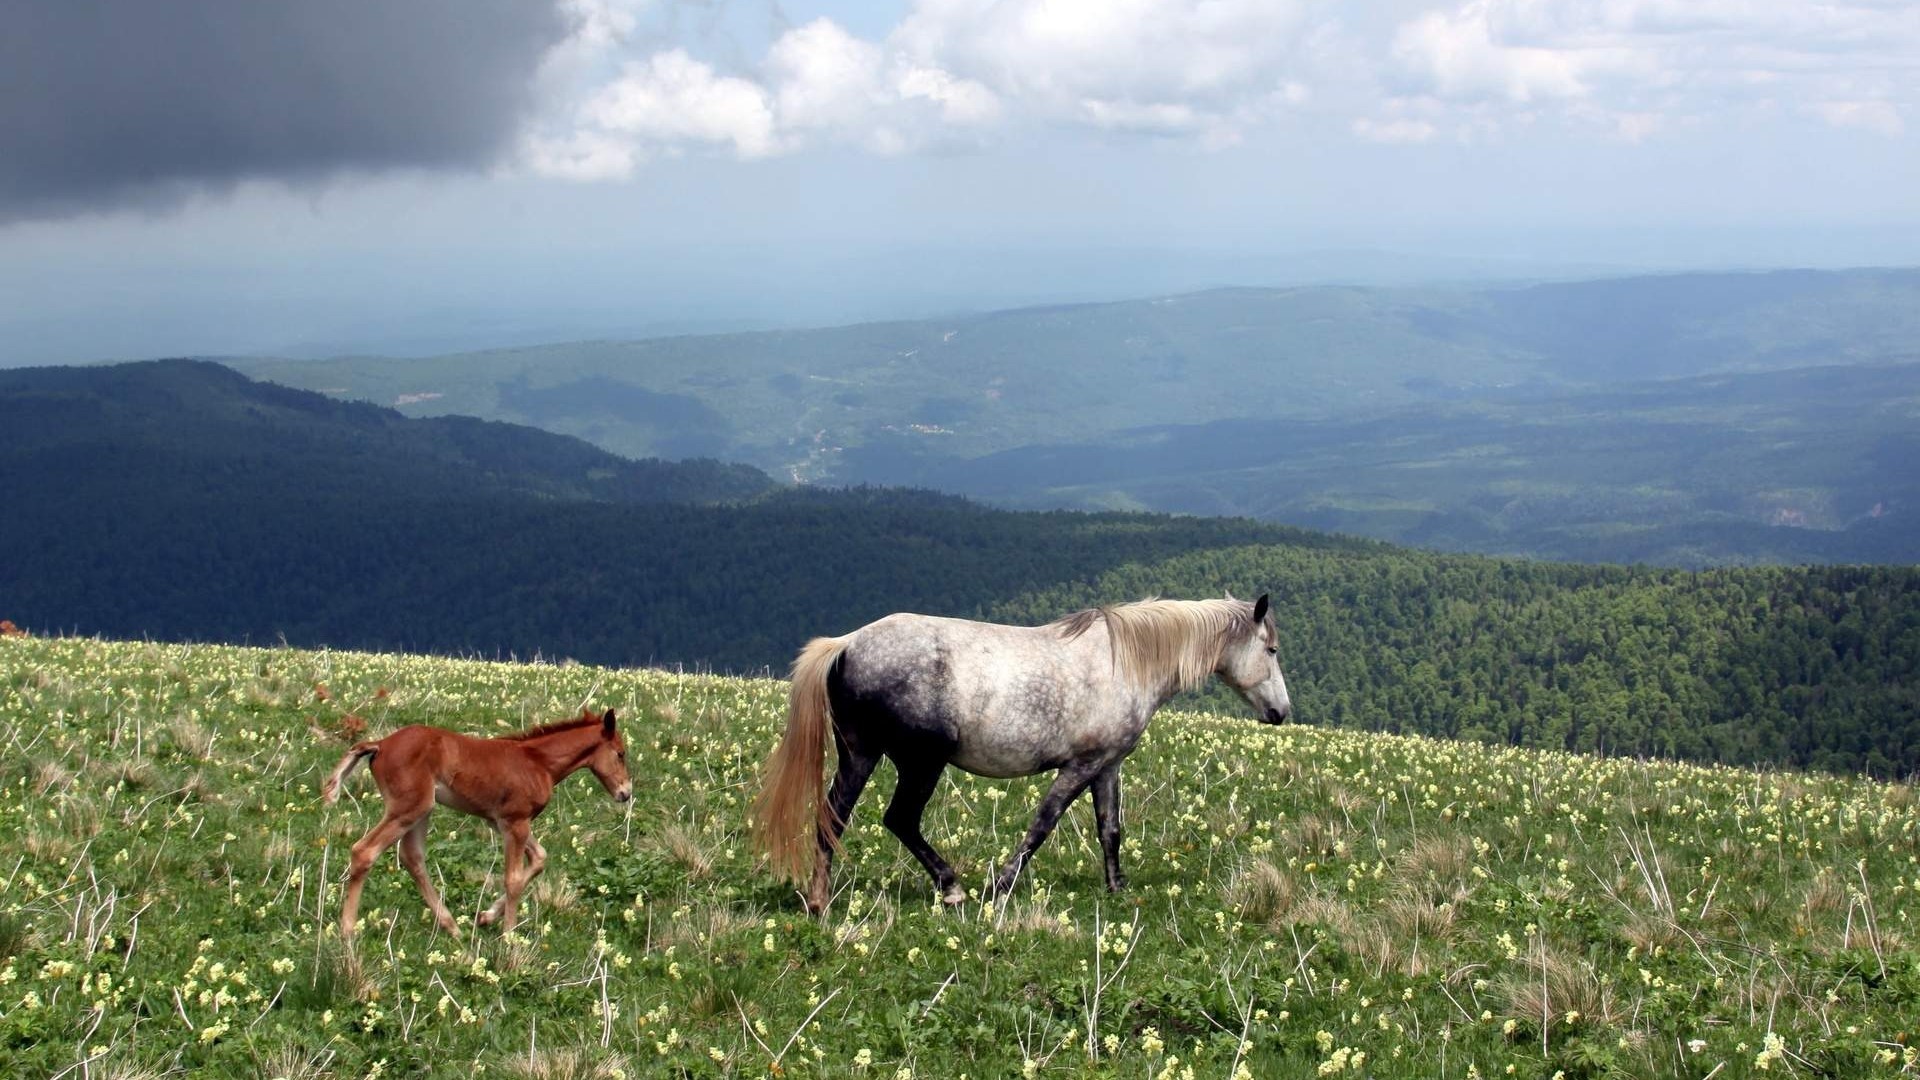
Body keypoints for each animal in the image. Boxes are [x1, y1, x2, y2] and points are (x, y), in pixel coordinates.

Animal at [321, 708, 631, 939]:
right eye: (620, 753)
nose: (625, 793)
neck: (538, 762)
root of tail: (381, 744)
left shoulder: (501, 822)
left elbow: (540, 859)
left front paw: (485, 917)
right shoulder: (516, 822)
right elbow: (513, 879)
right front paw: (509, 939)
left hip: (421, 811)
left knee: (412, 858)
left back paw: (452, 928)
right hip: (408, 808)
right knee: (365, 851)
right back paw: (348, 931)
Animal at [752, 594, 1292, 913]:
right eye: (1271, 650)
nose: (1281, 712)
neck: (1125, 661)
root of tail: (847, 643)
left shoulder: (1108, 765)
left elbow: (1110, 830)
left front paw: (1117, 889)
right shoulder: (1081, 765)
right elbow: (1043, 824)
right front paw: (1002, 886)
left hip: (860, 756)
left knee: (833, 817)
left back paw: (820, 901)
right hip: (921, 763)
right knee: (900, 818)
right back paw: (952, 887)